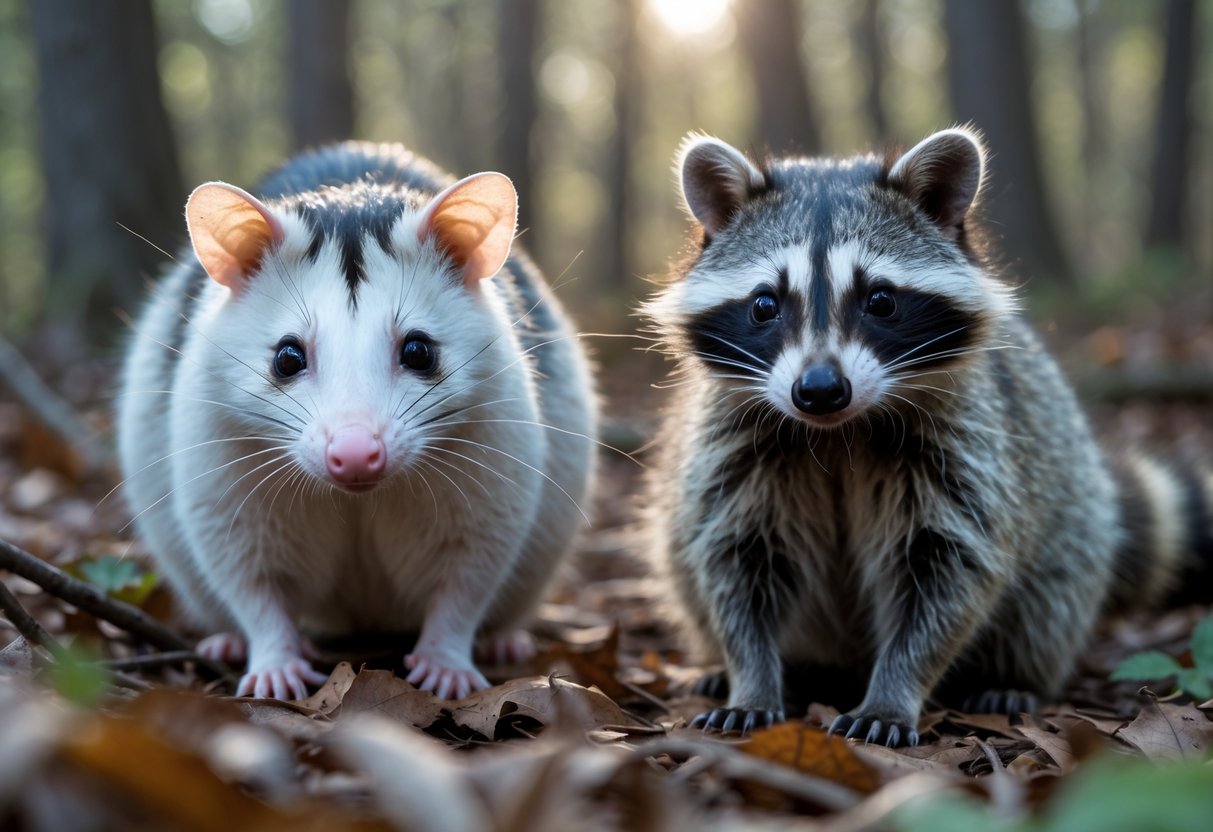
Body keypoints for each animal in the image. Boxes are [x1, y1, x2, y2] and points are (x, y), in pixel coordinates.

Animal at [643, 127, 1213, 746]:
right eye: (765, 304)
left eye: (881, 300)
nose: (819, 390)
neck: (837, 434)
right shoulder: (731, 452)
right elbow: (736, 567)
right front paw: (750, 676)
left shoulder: (969, 447)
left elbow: (945, 578)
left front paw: (895, 689)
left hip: (1069, 510)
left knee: (1052, 592)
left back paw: (1013, 678)